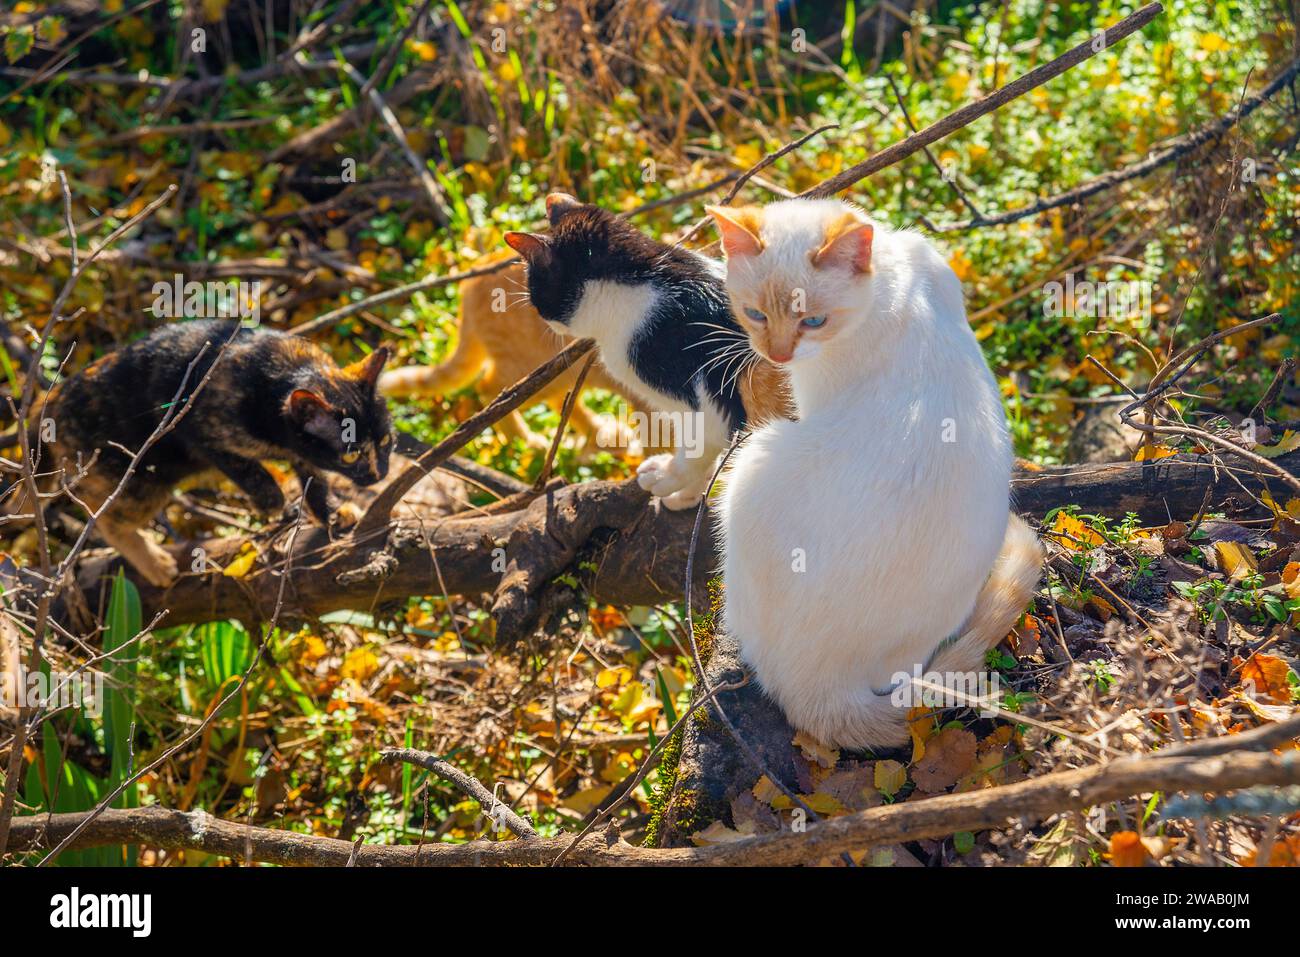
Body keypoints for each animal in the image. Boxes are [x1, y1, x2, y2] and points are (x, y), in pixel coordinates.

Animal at [2, 319, 392, 582]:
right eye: (351, 455)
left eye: (386, 441)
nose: (379, 475)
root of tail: (47, 402)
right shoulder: (206, 436)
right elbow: (257, 476)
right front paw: (275, 505)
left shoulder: (302, 455)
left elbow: (316, 482)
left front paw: (331, 515)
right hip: (141, 480)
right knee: (105, 518)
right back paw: (155, 564)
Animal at [506, 189, 754, 512]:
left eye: (536, 297)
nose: (548, 323)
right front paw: (687, 496)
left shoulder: (708, 403)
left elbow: (699, 448)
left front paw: (667, 478)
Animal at [707, 200, 1040, 748]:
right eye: (755, 313)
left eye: (814, 320)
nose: (778, 355)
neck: (890, 280)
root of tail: (822, 688)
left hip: (753, 461)